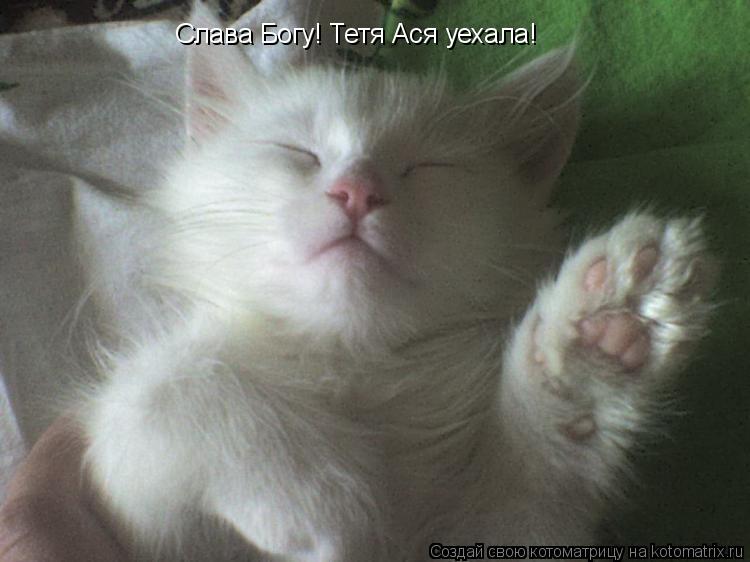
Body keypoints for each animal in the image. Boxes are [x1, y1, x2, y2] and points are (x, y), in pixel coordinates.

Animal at [77, 8, 715, 562]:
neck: (361, 369)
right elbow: (158, 387)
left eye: (429, 167)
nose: (359, 189)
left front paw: (593, 346)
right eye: (298, 151)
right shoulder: (137, 526)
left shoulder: (502, 532)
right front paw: (318, 499)